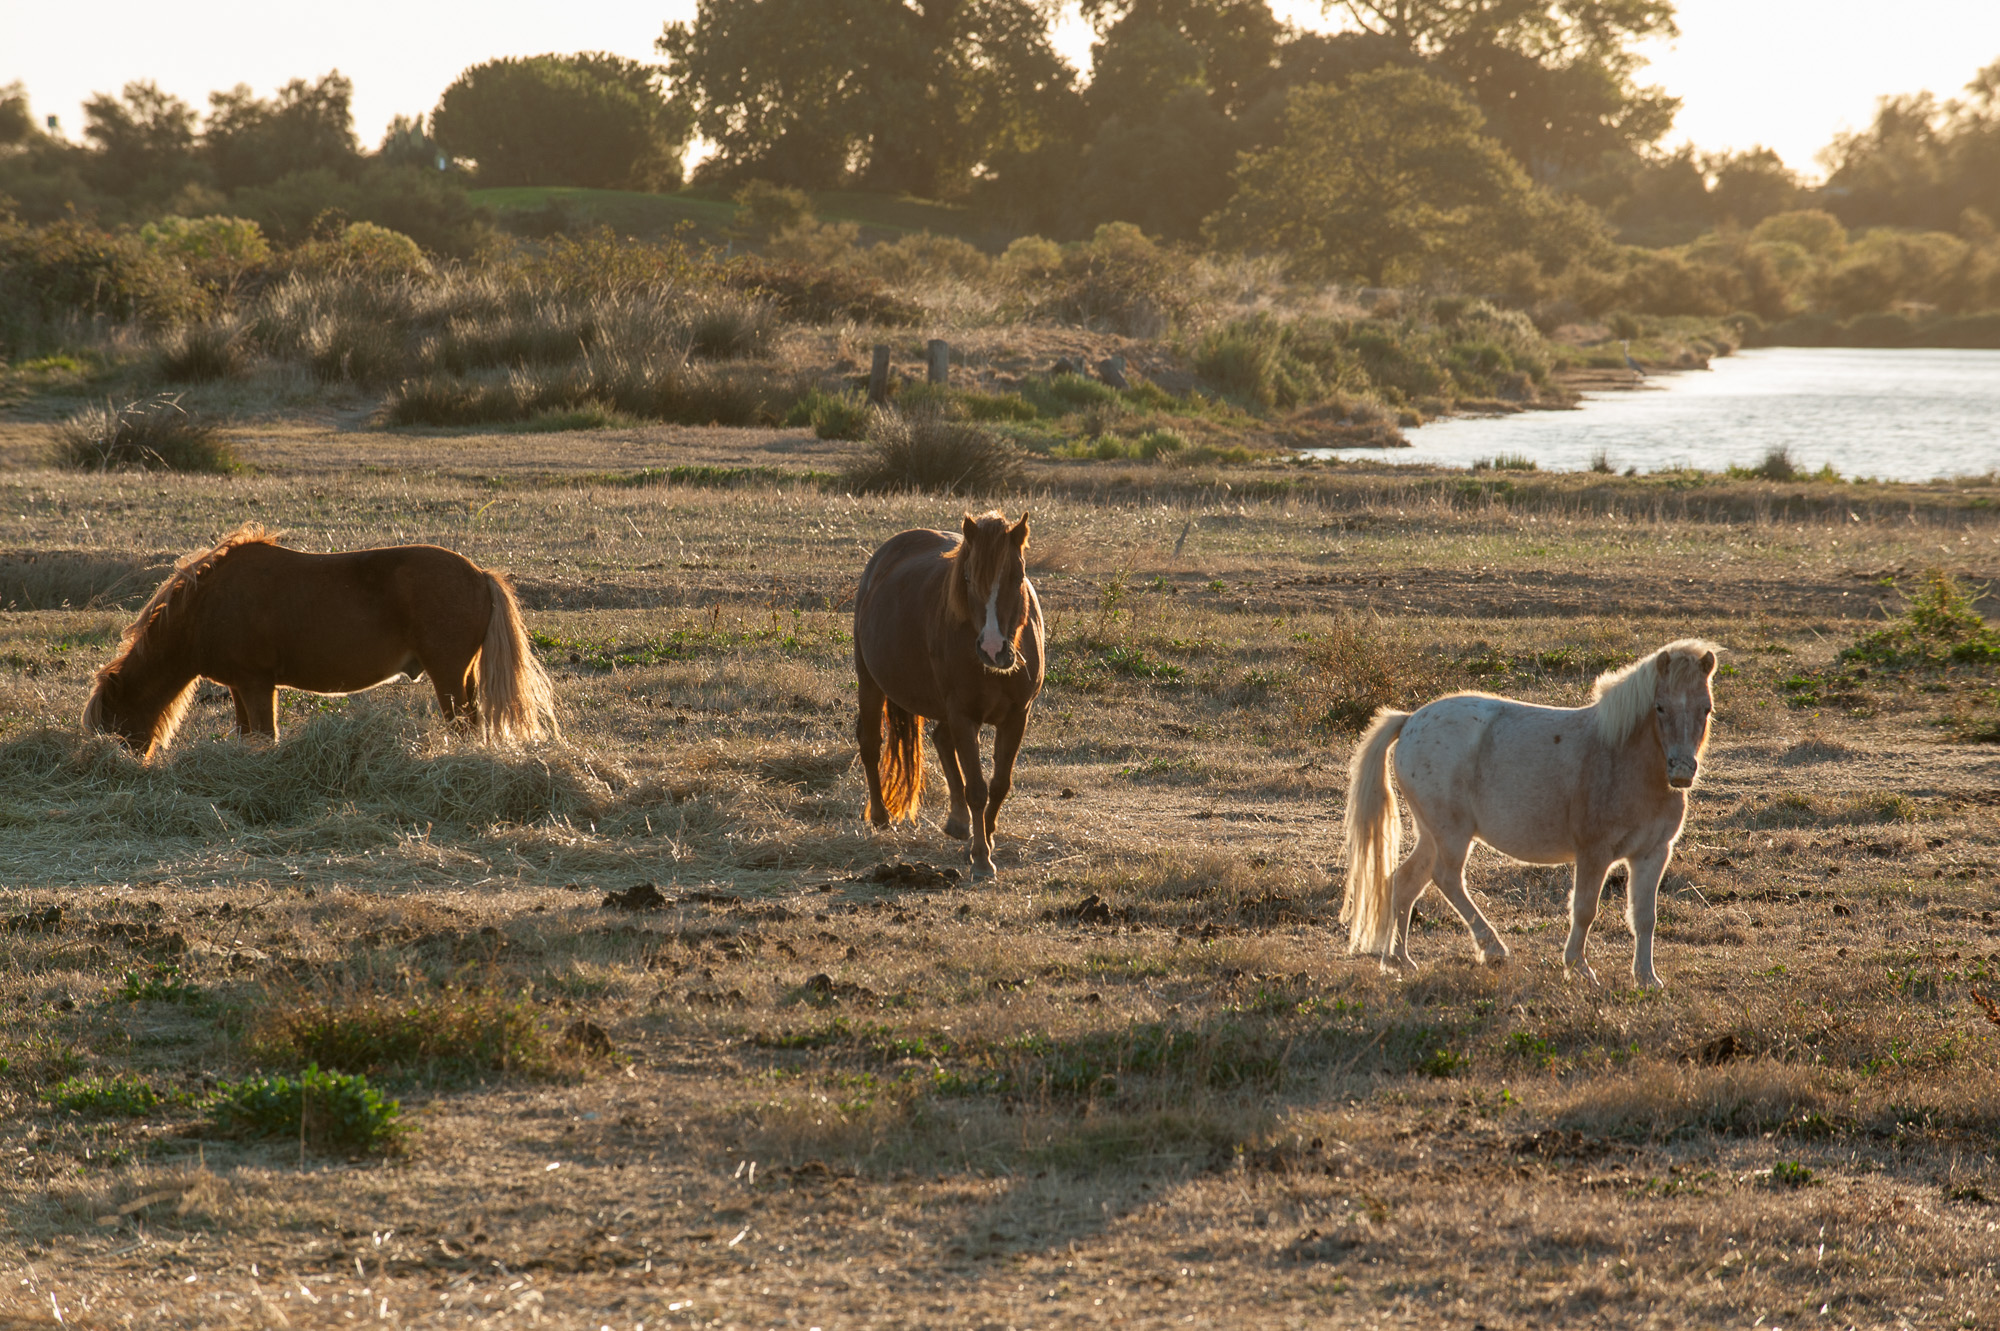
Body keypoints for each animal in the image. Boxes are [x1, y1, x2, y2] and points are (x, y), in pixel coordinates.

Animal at [84, 527, 556, 763]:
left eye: (112, 721)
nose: (115, 765)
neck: (206, 606)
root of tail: (480, 575)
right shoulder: (240, 687)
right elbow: (248, 736)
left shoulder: (257, 685)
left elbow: (266, 736)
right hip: (463, 675)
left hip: (448, 675)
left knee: (463, 725)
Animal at [852, 511, 1048, 875]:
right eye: (968, 578)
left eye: (1018, 575)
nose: (992, 649)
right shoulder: (963, 714)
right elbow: (978, 789)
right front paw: (982, 857)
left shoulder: (1017, 716)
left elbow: (999, 784)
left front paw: (988, 833)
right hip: (870, 682)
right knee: (871, 744)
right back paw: (882, 816)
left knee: (942, 739)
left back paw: (958, 821)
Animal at [1344, 639, 1720, 991]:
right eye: (1660, 707)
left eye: (1706, 708)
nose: (1681, 771)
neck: (1622, 757)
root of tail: (1409, 721)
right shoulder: (1594, 853)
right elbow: (1584, 909)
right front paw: (1578, 968)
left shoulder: (1652, 854)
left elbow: (1644, 916)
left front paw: (1646, 977)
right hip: (1451, 834)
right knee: (1446, 878)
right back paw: (1492, 948)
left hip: (1431, 835)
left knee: (1405, 882)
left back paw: (1398, 960)